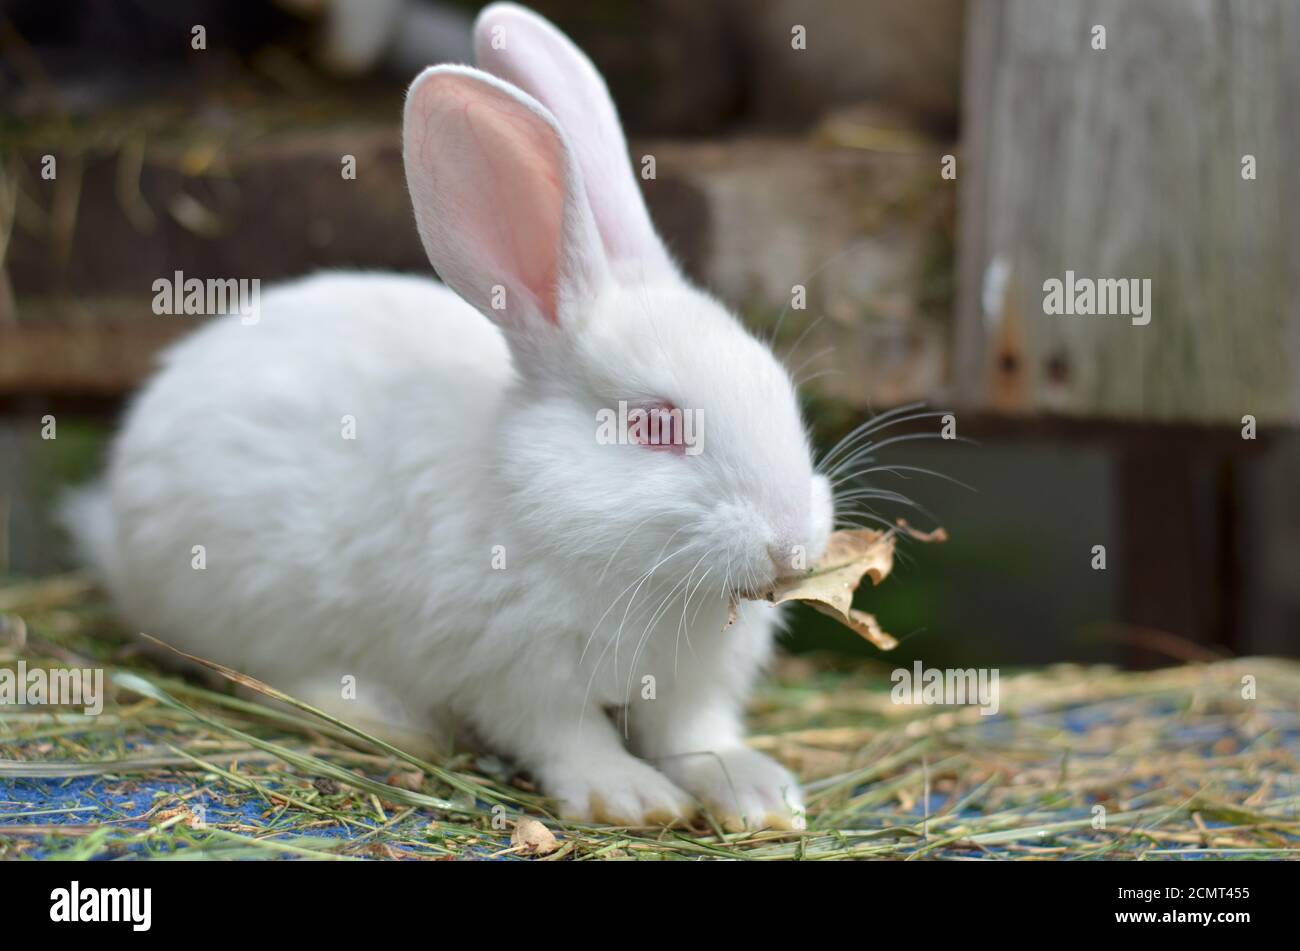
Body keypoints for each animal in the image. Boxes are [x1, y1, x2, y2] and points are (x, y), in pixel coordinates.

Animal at [63, 3, 832, 826]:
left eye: (779, 387)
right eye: (654, 426)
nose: (792, 544)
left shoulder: (693, 687)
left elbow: (699, 735)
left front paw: (762, 796)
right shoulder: (515, 671)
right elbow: (568, 737)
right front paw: (631, 798)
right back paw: (380, 716)